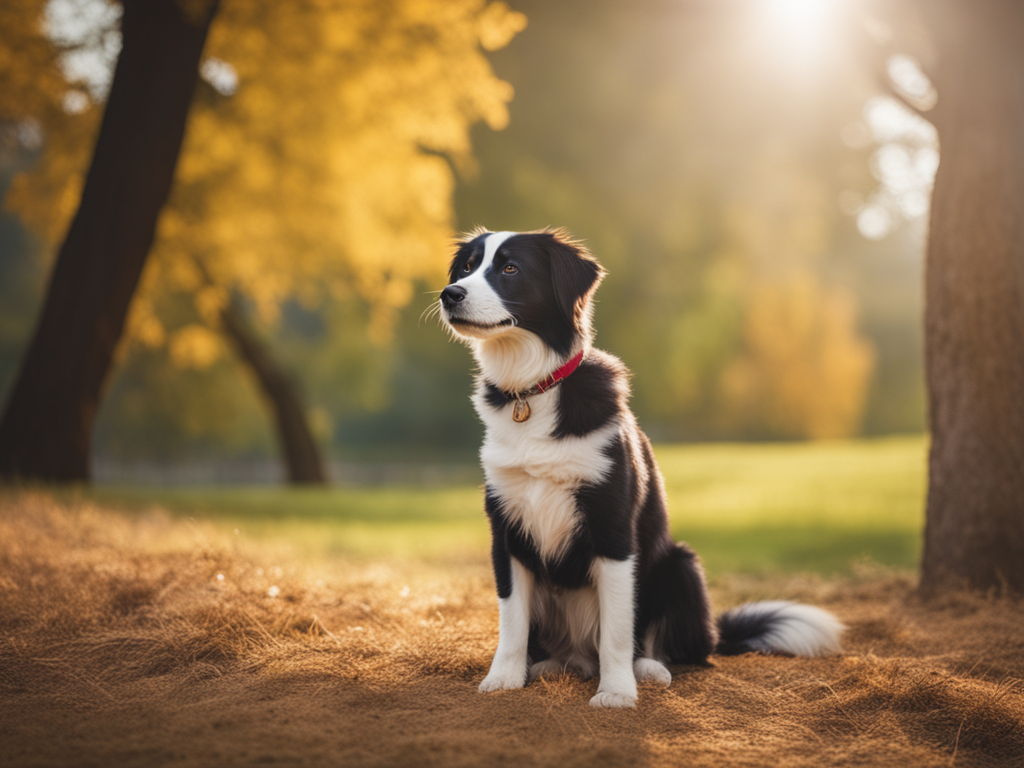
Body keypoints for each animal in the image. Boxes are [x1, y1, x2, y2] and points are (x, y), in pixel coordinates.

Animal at [436, 228, 843, 708]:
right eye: (466, 267)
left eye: (510, 268)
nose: (449, 294)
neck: (533, 392)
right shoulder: (507, 533)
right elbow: (512, 621)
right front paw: (503, 679)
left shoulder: (613, 531)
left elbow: (616, 629)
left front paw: (616, 693)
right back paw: (551, 665)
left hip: (680, 565)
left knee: (677, 651)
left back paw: (647, 669)